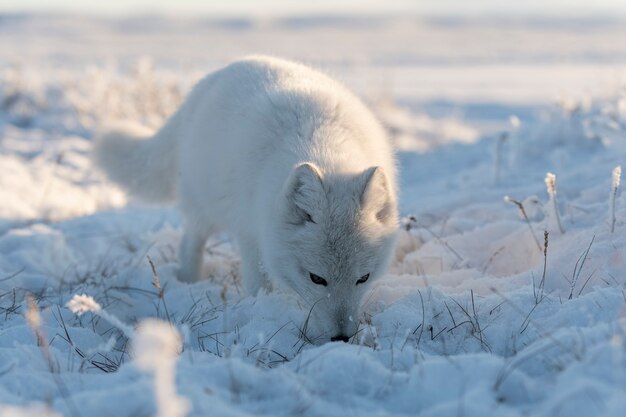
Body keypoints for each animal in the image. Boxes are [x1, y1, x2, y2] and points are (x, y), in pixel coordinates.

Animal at [94, 55, 394, 342]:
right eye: (316, 278)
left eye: (363, 278)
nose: (342, 338)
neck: (324, 150)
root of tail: (211, 78)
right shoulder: (252, 233)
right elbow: (259, 284)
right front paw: (262, 309)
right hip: (205, 208)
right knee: (189, 243)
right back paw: (189, 282)